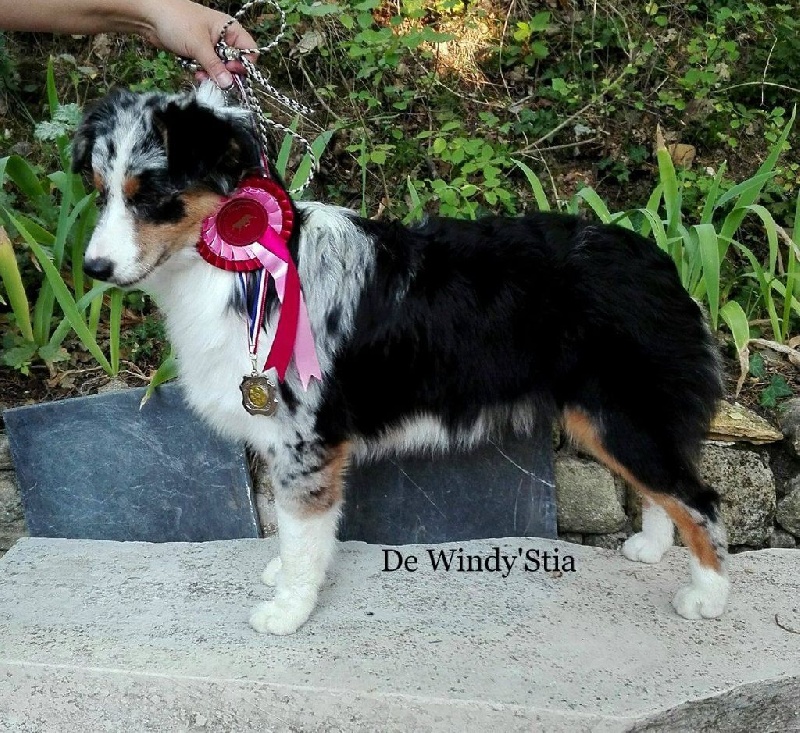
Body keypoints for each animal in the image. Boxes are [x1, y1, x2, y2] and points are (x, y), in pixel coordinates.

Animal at [72, 82, 728, 635]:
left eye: (151, 196)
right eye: (101, 194)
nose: (93, 268)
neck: (244, 272)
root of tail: (660, 260)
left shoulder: (305, 437)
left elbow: (302, 531)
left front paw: (288, 611)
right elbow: (295, 533)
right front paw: (287, 578)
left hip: (619, 416)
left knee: (698, 499)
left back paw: (707, 595)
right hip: (610, 421)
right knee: (663, 489)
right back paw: (652, 547)